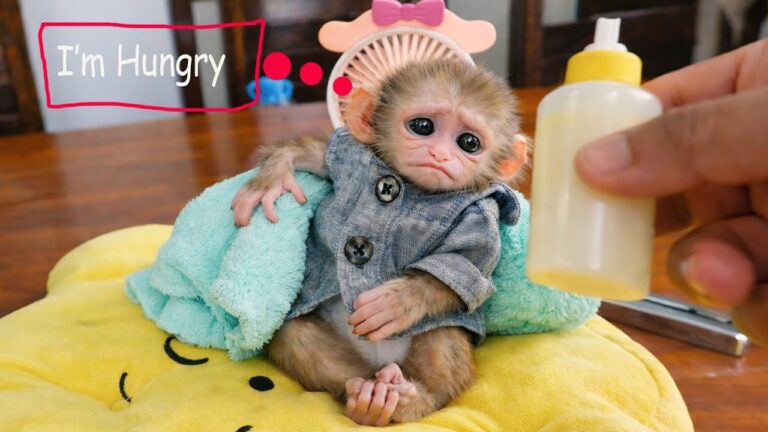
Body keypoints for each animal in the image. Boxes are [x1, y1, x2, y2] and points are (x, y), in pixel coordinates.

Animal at [231, 59, 528, 426]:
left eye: (469, 143)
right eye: (422, 126)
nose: (440, 154)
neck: (413, 188)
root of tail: (382, 362)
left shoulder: (483, 214)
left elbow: (465, 266)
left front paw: (396, 303)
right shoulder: (350, 155)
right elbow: (318, 155)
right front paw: (272, 178)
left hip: (437, 332)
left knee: (442, 344)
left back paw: (411, 400)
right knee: (296, 336)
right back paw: (365, 397)